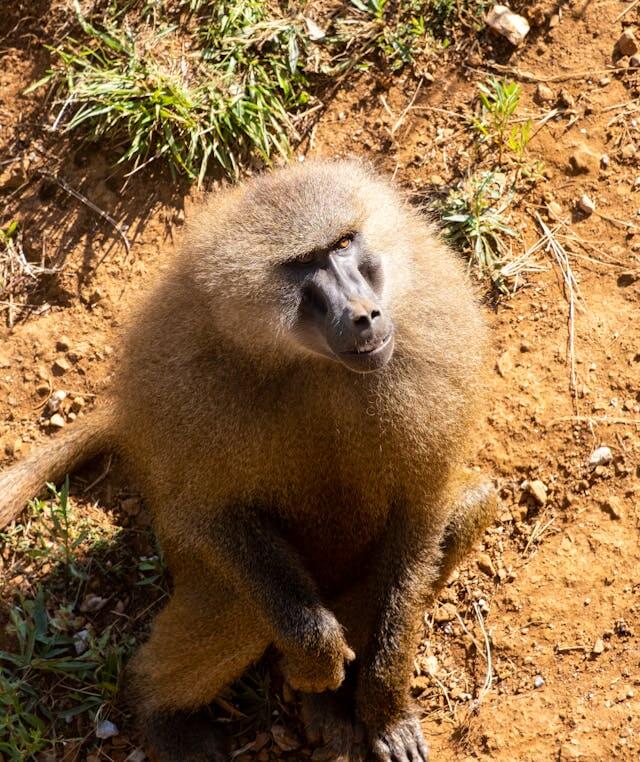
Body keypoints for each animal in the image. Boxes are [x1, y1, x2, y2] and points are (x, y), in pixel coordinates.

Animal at [0, 159, 496, 762]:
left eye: (344, 243)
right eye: (301, 264)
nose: (364, 316)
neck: (311, 363)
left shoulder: (430, 350)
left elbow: (422, 512)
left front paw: (385, 706)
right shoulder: (185, 381)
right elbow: (206, 513)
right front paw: (317, 658)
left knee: (470, 507)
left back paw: (333, 707)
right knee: (241, 605)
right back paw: (167, 714)